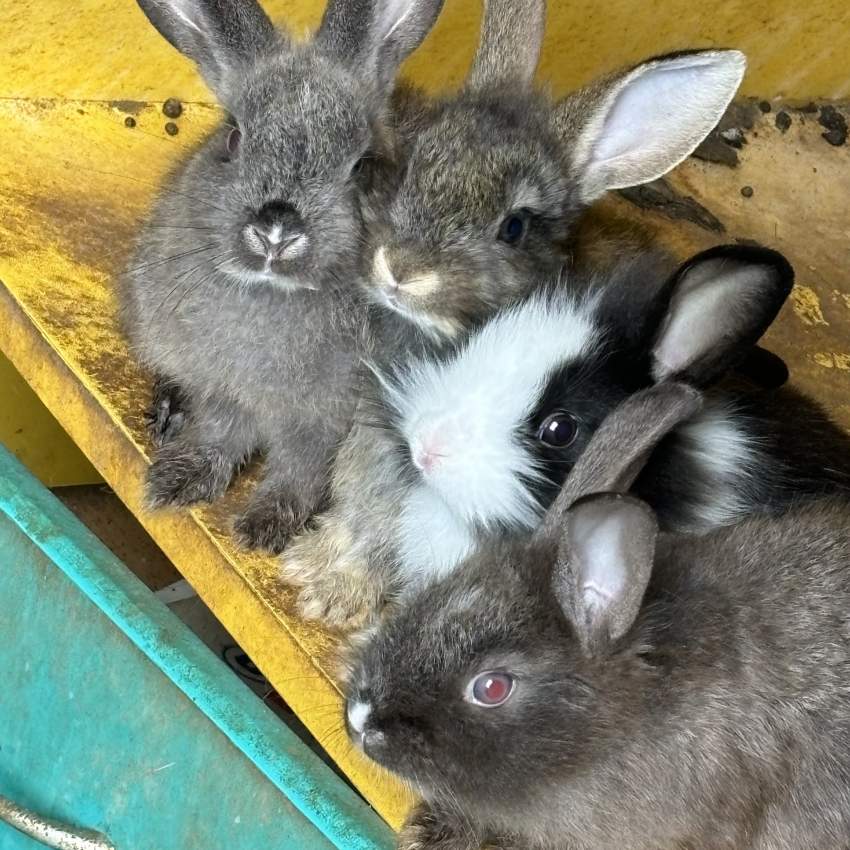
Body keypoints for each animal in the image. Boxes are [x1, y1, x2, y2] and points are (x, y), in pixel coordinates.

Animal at [122, 0, 448, 548]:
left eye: (362, 167)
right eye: (233, 137)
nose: (277, 230)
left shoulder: (323, 427)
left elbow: (300, 473)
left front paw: (264, 527)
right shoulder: (223, 393)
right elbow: (218, 435)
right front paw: (175, 481)